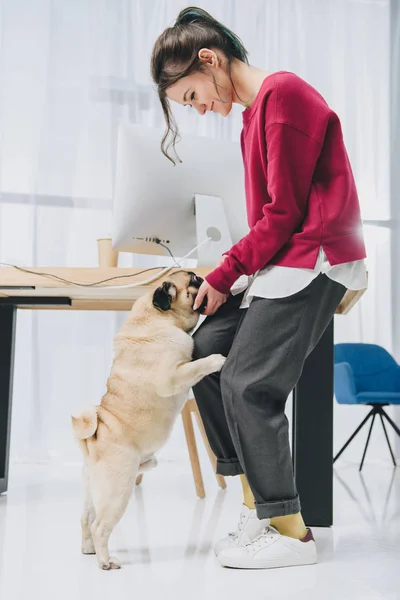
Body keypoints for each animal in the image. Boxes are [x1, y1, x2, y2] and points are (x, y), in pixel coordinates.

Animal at [71, 270, 225, 568]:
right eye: (193, 281)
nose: (203, 277)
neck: (154, 317)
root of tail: (94, 438)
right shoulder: (173, 376)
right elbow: (197, 365)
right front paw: (216, 360)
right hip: (119, 488)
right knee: (100, 526)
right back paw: (106, 561)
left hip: (92, 490)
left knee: (86, 519)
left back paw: (89, 550)